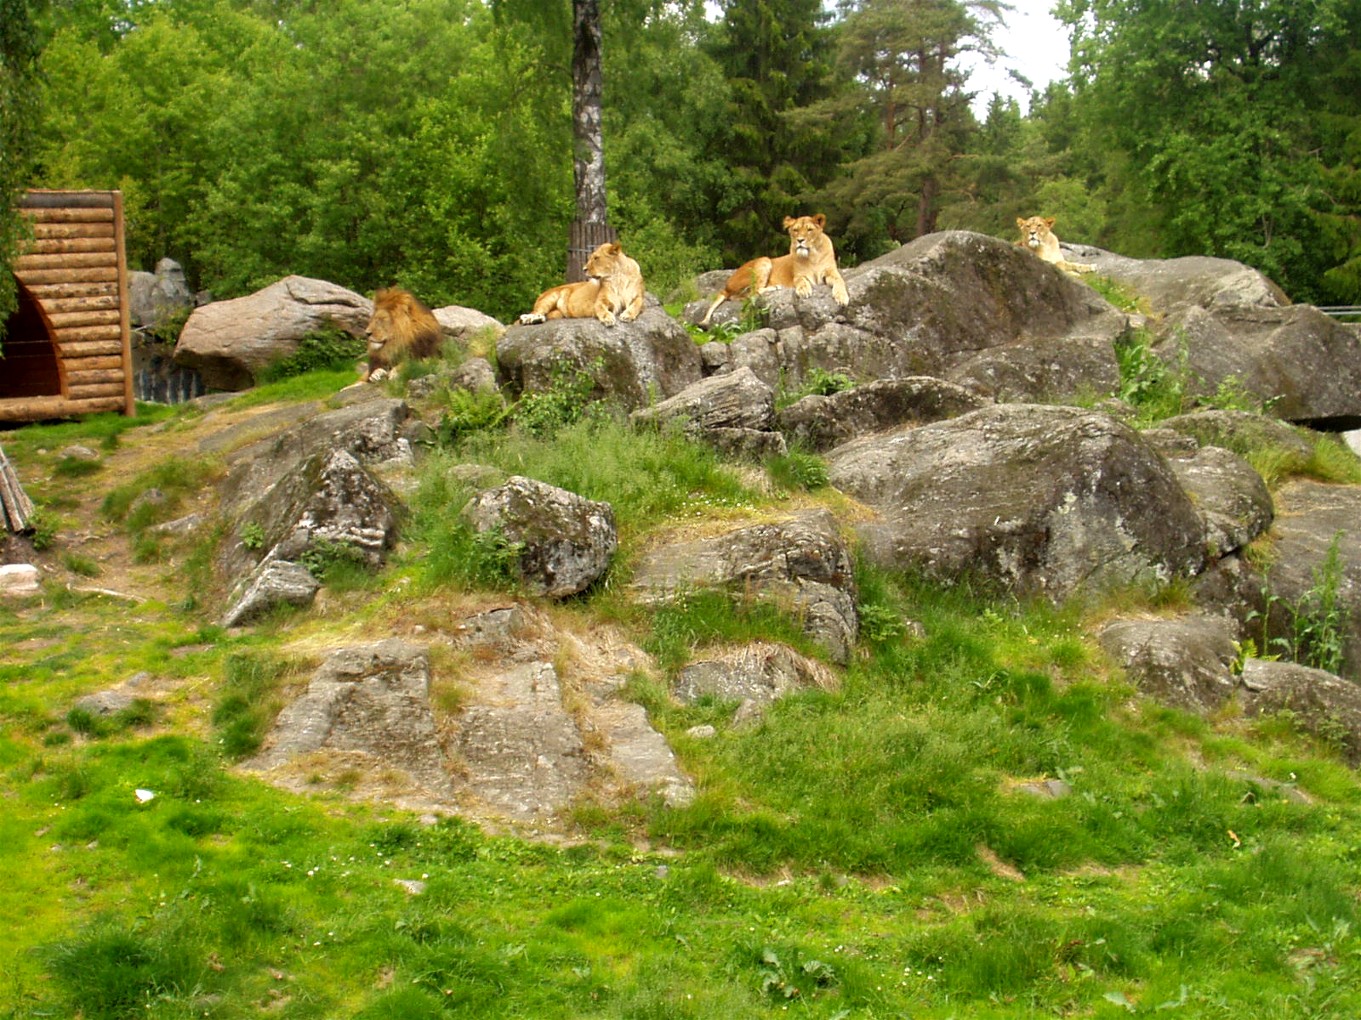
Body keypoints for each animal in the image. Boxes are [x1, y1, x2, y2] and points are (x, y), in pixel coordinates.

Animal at [517, 242, 646, 327]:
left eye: (596, 258)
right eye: (591, 258)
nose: (584, 269)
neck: (617, 278)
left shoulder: (638, 297)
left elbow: (637, 305)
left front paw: (627, 315)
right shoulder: (601, 301)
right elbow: (601, 309)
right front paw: (608, 318)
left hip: (558, 313)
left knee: (544, 316)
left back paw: (536, 320)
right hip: (549, 298)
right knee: (533, 313)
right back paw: (528, 319)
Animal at [700, 214, 850, 326]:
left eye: (809, 230)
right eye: (795, 230)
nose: (800, 240)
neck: (813, 255)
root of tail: (726, 286)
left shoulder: (831, 271)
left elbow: (840, 281)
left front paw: (842, 297)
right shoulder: (799, 275)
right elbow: (801, 281)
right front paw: (804, 290)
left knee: (744, 296)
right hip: (765, 260)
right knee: (754, 292)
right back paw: (776, 287)